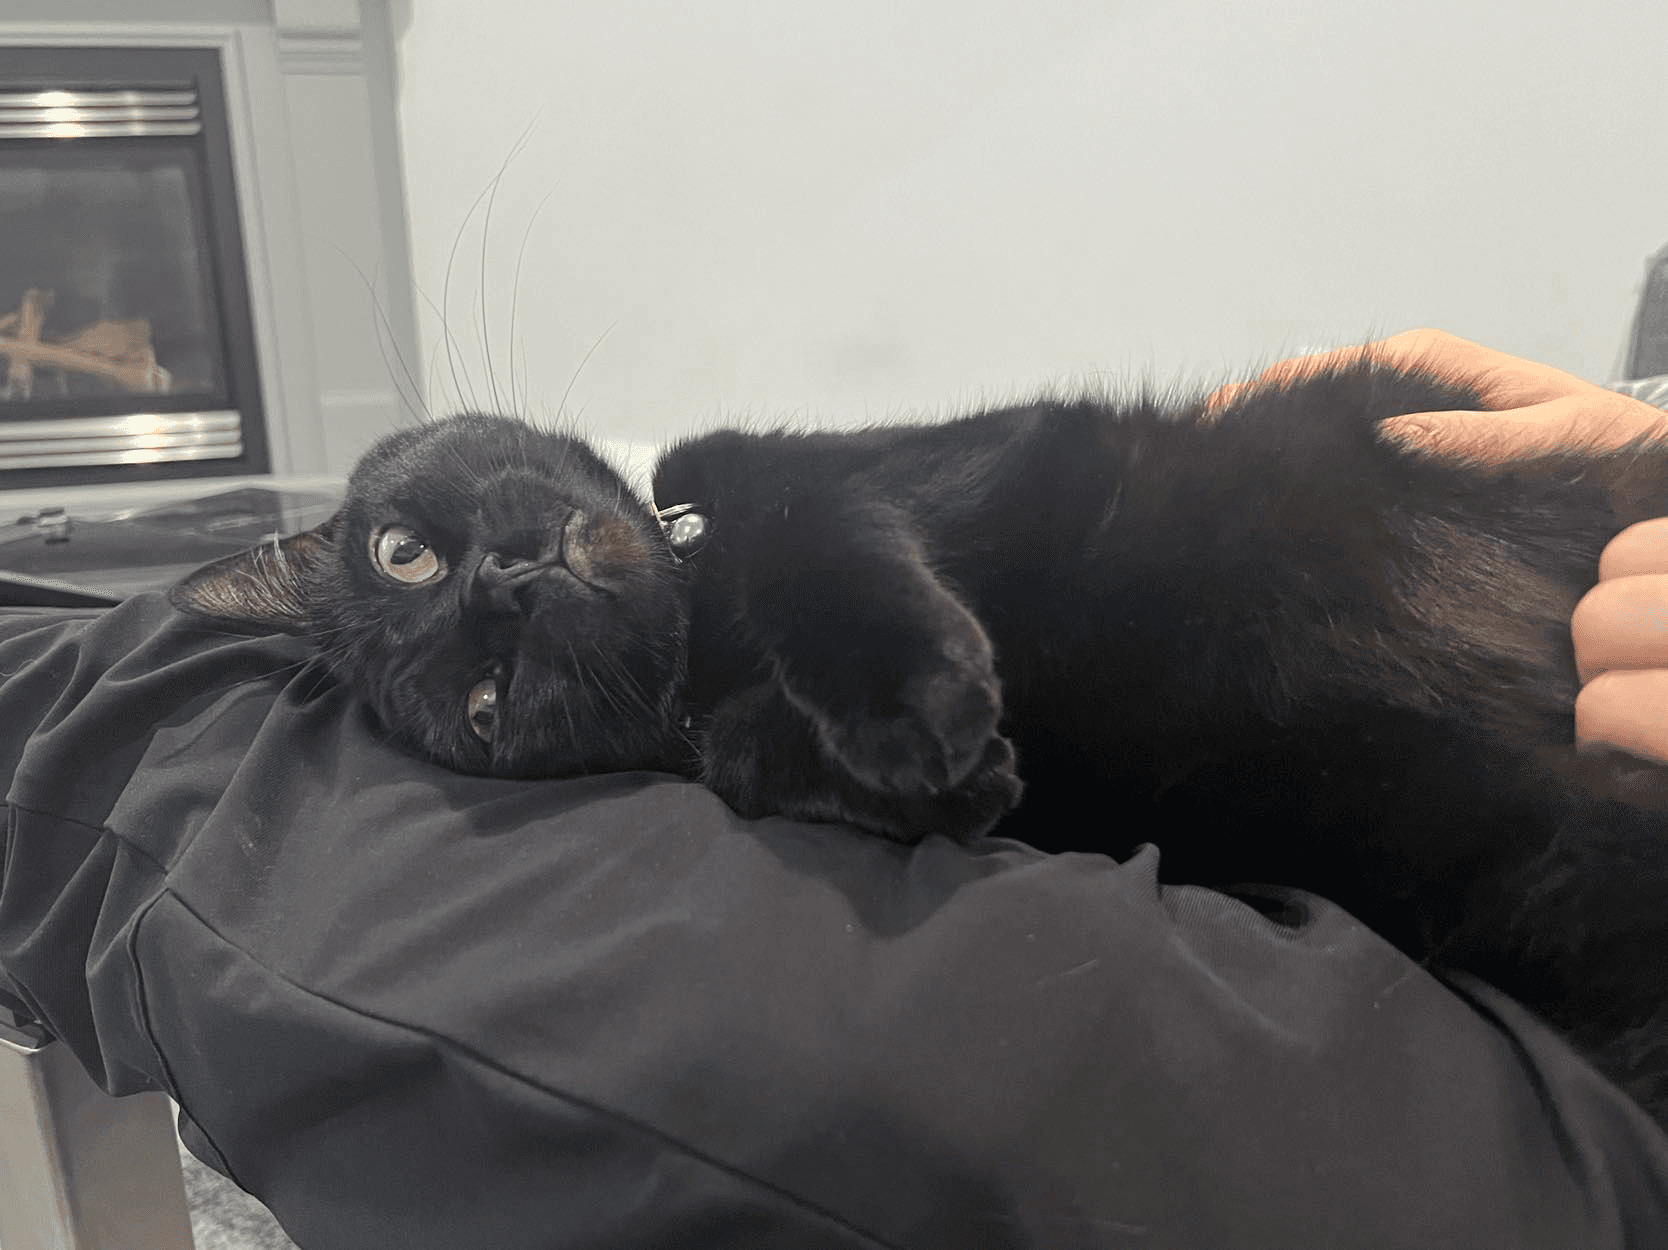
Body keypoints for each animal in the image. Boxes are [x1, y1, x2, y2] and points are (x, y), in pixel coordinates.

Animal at [172, 358, 1668, 1121]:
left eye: (403, 552)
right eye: (488, 701)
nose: (508, 583)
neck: (705, 620)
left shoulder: (899, 469)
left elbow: (818, 532)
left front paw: (915, 709)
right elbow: (751, 757)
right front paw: (945, 776)